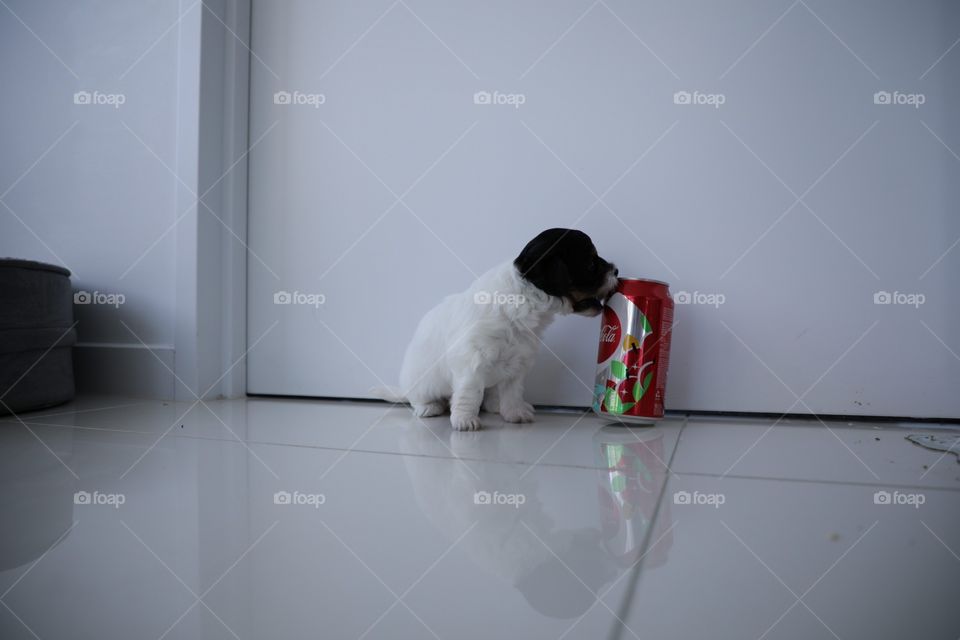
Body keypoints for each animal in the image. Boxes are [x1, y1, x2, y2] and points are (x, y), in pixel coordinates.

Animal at [378, 228, 620, 432]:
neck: (525, 297)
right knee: (419, 397)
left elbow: (512, 391)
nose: (617, 270)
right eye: (590, 264)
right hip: (420, 379)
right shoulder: (471, 362)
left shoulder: (519, 363)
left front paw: (514, 412)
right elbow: (469, 393)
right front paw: (464, 420)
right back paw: (429, 407)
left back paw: (495, 405)